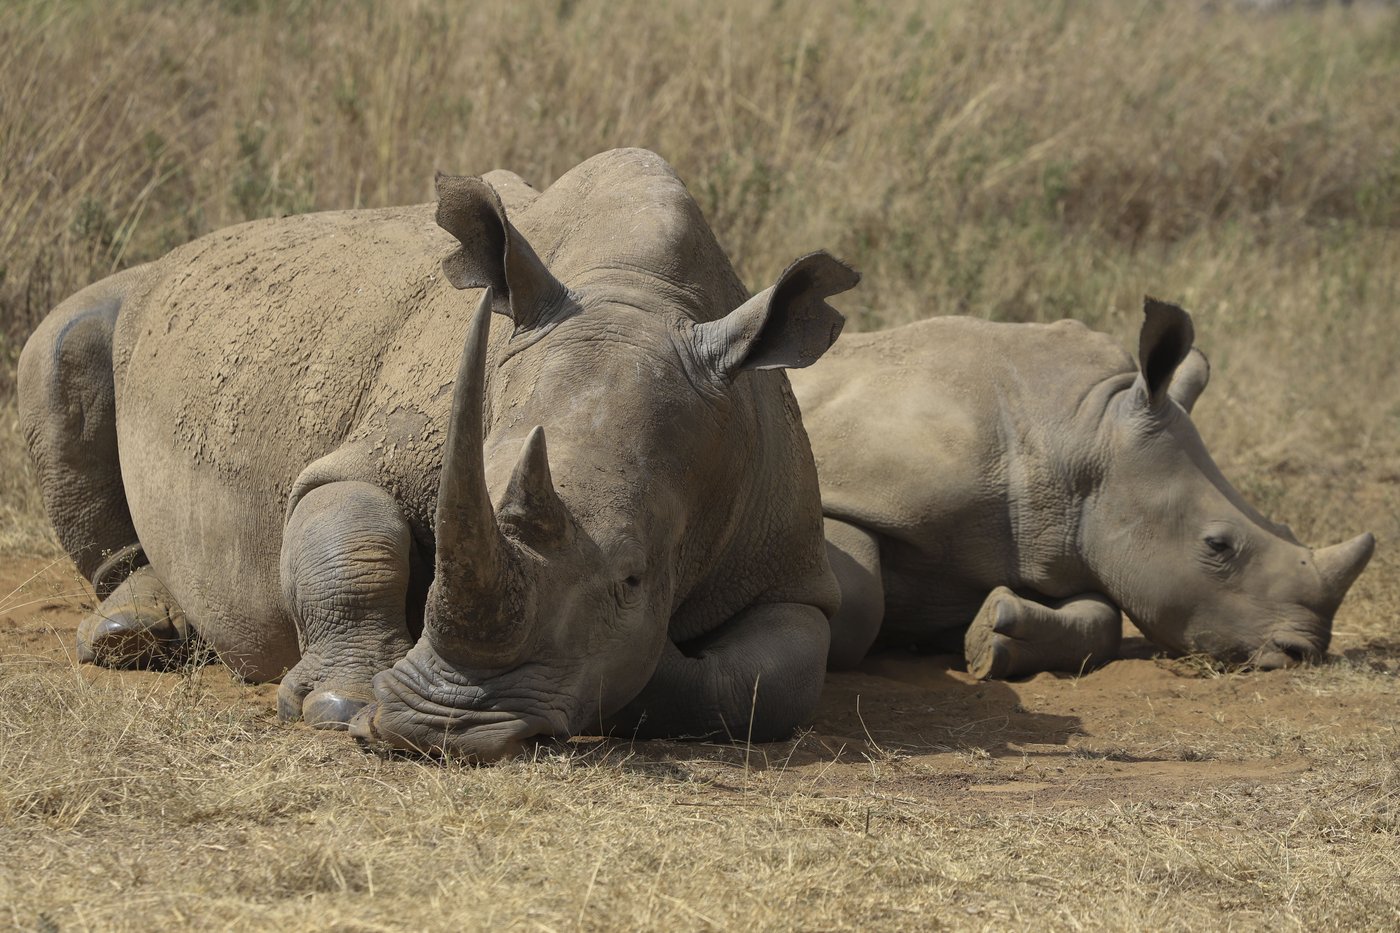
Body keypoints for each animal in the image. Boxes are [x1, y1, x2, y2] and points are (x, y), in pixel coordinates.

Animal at [19, 148, 859, 759]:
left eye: (632, 577)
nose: (439, 725)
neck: (636, 293)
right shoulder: (370, 454)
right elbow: (352, 537)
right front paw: (341, 702)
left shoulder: (788, 567)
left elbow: (759, 685)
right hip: (137, 301)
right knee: (62, 344)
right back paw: (132, 635)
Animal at [789, 301, 1375, 678]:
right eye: (1217, 546)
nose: (1302, 652)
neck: (1079, 434)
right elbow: (863, 598)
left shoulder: (1044, 542)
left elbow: (1103, 618)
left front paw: (991, 634)